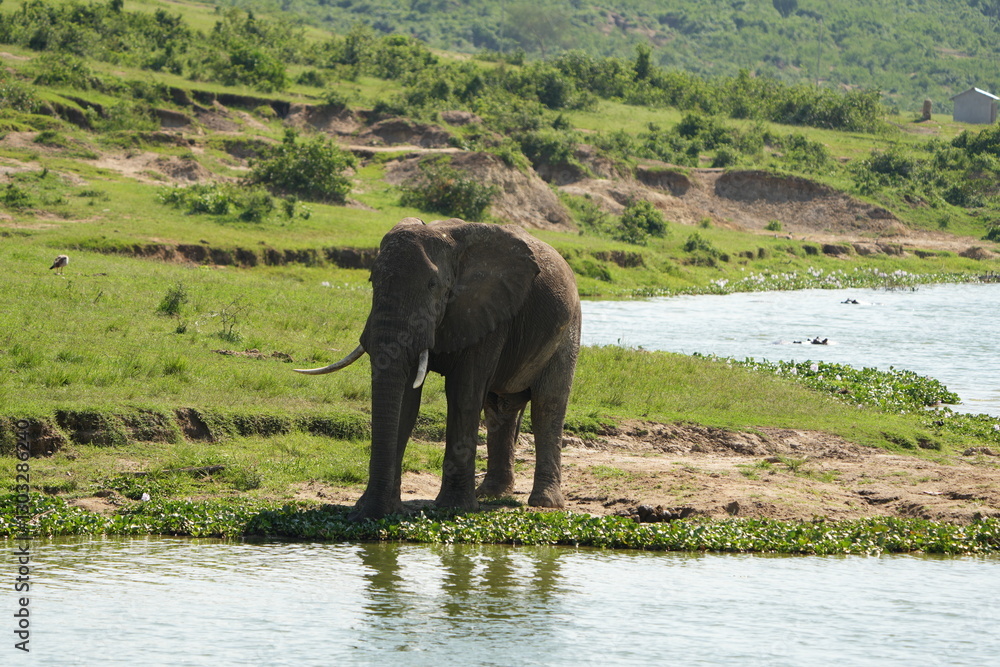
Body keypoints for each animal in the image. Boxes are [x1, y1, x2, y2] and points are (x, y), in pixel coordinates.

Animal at [295, 217, 581, 521]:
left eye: (433, 284)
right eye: (372, 280)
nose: (369, 515)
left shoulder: (487, 310)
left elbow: (464, 393)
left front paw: (454, 508)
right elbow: (406, 400)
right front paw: (379, 508)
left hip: (568, 329)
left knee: (547, 405)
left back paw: (545, 503)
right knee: (500, 409)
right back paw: (490, 495)